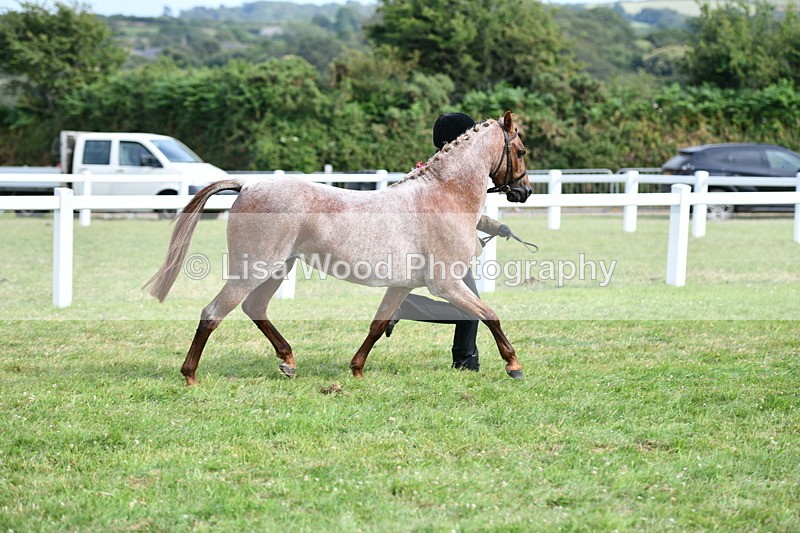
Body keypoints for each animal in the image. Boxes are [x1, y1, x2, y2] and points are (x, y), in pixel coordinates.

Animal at [145, 111, 532, 385]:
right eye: (521, 150)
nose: (524, 191)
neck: (441, 197)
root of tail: (247, 186)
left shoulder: (402, 284)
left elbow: (378, 324)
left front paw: (357, 369)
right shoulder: (446, 284)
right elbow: (488, 313)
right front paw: (513, 365)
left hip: (277, 269)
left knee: (254, 308)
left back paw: (288, 362)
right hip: (252, 268)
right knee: (213, 313)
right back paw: (190, 375)